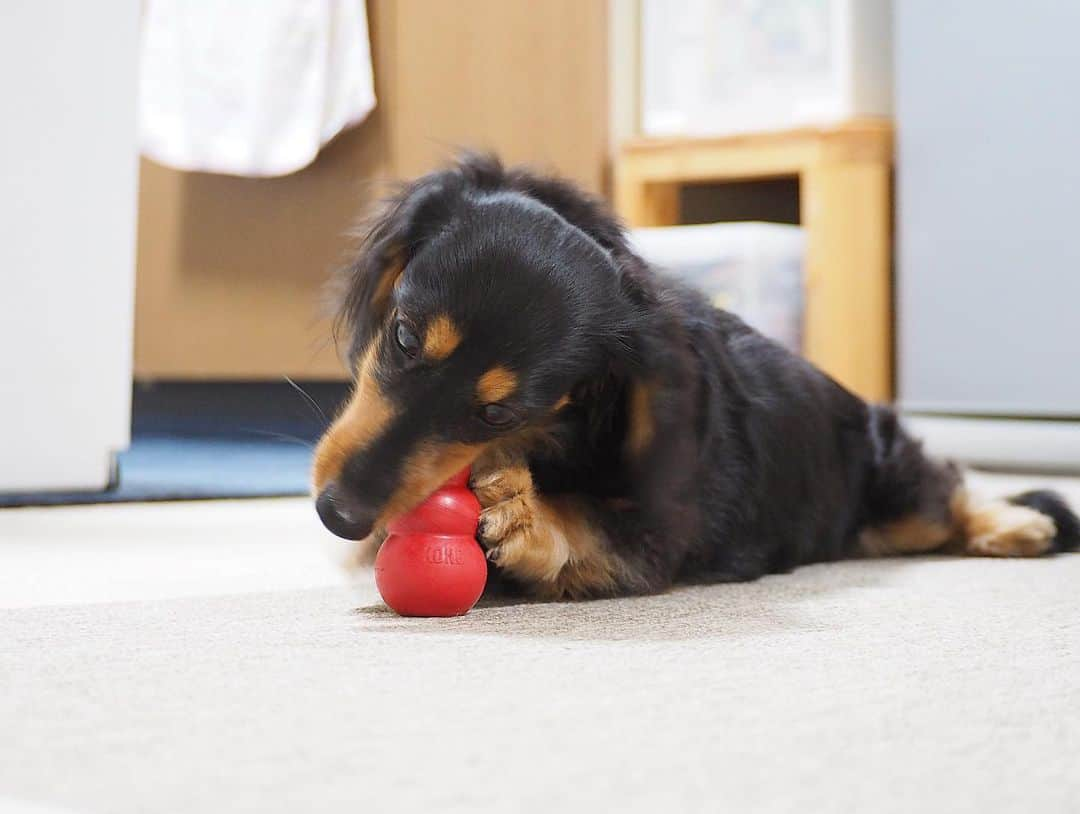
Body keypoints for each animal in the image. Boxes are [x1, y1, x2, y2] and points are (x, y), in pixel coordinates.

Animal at [308, 153, 1075, 595]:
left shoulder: (664, 532)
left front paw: (529, 515)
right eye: (404, 336)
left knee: (947, 492)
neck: (570, 428)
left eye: (498, 412)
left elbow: (598, 529)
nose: (337, 514)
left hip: (893, 488)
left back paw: (1018, 525)